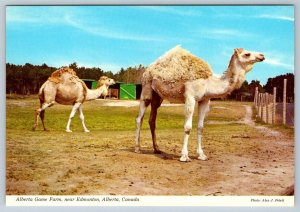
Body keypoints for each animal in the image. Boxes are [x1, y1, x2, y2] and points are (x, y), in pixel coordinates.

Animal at [135, 45, 264, 161]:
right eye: (247, 54)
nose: (262, 56)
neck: (208, 82)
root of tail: (148, 69)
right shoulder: (190, 97)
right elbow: (188, 127)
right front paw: (184, 156)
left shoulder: (204, 100)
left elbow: (200, 127)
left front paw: (201, 155)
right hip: (146, 88)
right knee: (140, 117)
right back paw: (137, 148)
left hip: (158, 96)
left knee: (152, 119)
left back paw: (157, 149)